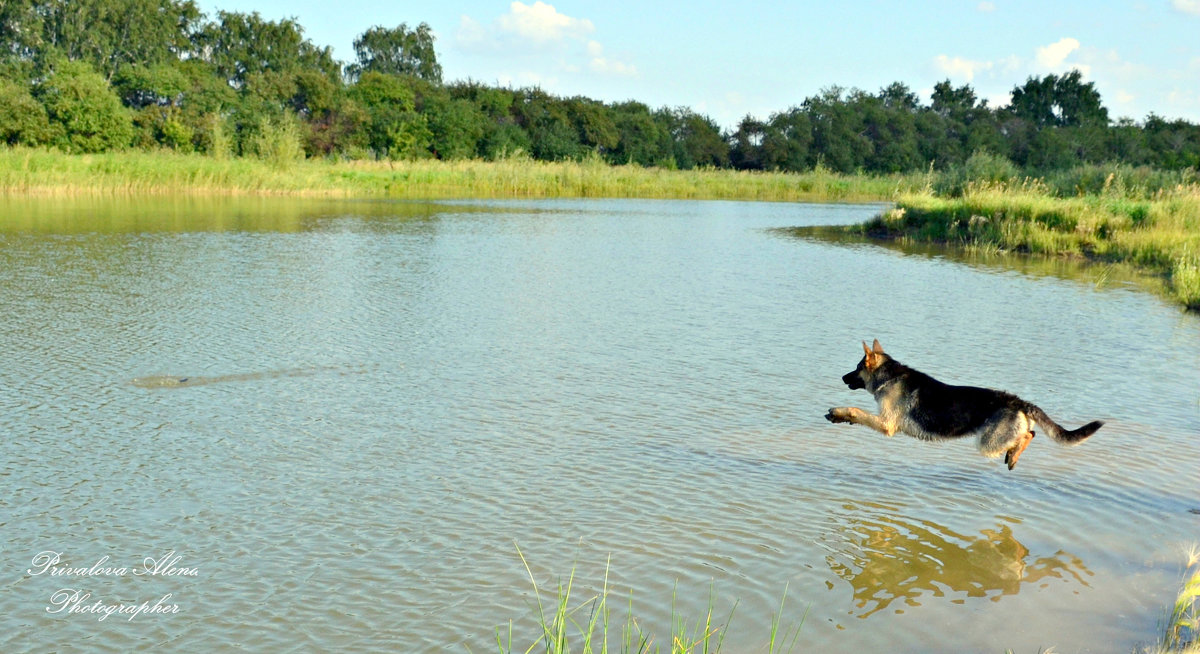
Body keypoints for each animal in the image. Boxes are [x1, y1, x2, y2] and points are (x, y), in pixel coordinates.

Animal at [830, 336, 1099, 470]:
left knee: (1027, 435)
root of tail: (1018, 402)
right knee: (1029, 433)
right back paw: (1014, 455)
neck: (889, 375)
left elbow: (856, 410)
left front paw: (838, 413)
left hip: (987, 442)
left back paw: (1014, 456)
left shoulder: (886, 423)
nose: (842, 377)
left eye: (856, 368)